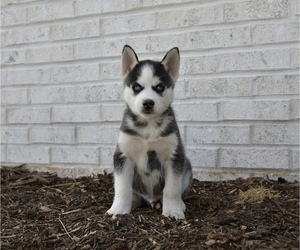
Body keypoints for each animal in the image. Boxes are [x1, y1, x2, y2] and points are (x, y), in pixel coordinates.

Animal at [106, 45, 192, 219]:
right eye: (136, 87)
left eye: (159, 87)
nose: (147, 103)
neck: (149, 126)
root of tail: (151, 199)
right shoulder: (122, 155)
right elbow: (122, 187)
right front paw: (118, 209)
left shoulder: (175, 156)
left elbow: (172, 189)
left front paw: (173, 211)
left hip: (187, 167)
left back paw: (176, 204)